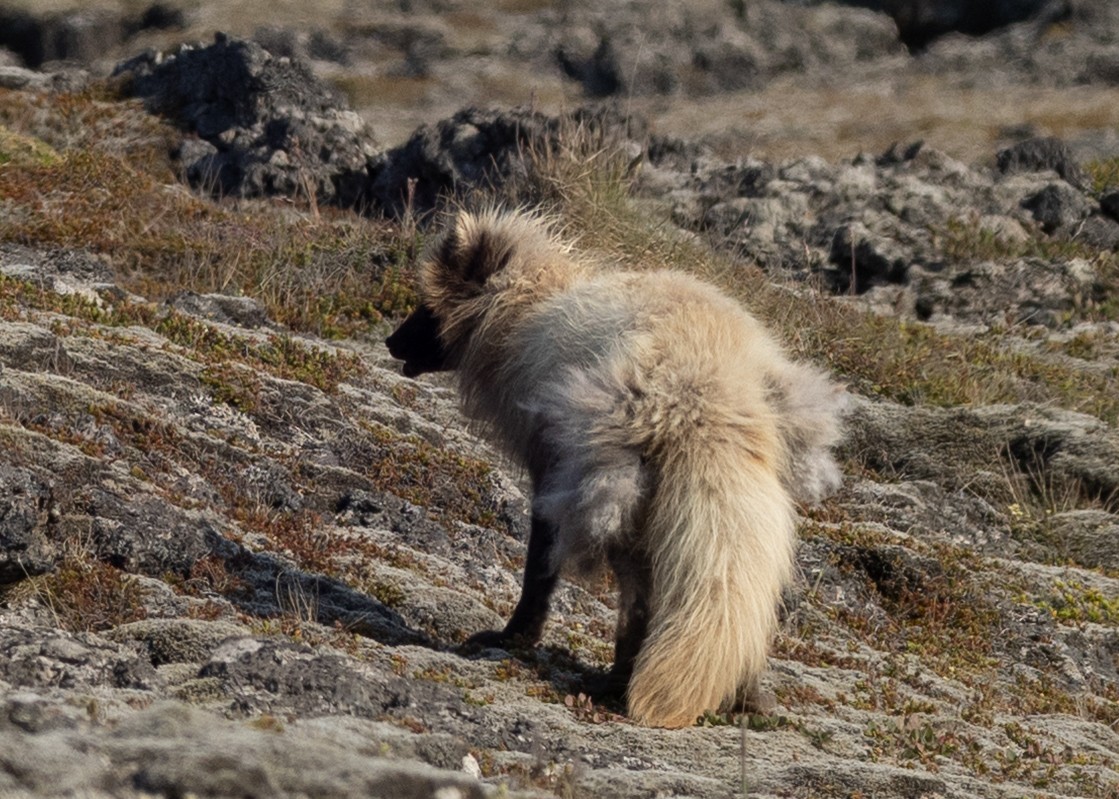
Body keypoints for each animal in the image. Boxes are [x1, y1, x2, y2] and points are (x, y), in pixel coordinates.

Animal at [385, 208, 846, 728]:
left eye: (426, 305)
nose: (390, 341)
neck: (526, 310)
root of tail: (700, 395)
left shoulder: (549, 472)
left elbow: (539, 568)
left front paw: (515, 637)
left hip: (618, 500)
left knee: (638, 603)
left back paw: (618, 682)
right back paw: (746, 694)